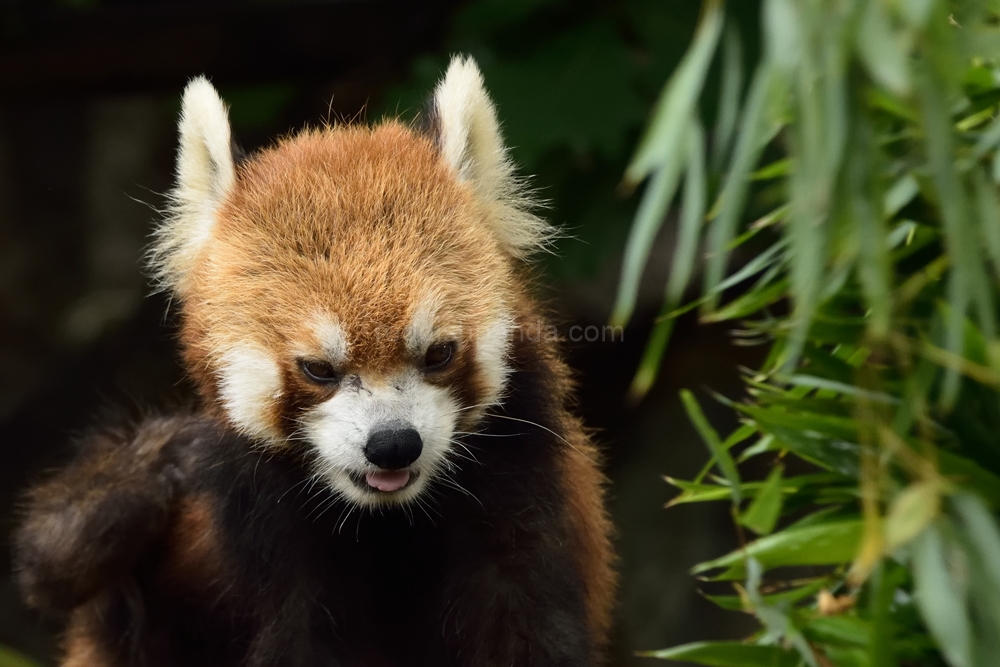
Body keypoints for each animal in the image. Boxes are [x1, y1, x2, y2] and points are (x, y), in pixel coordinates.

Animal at [11, 57, 612, 667]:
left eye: (438, 353)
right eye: (318, 369)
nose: (393, 444)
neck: (386, 521)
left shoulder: (523, 481)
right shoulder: (272, 535)